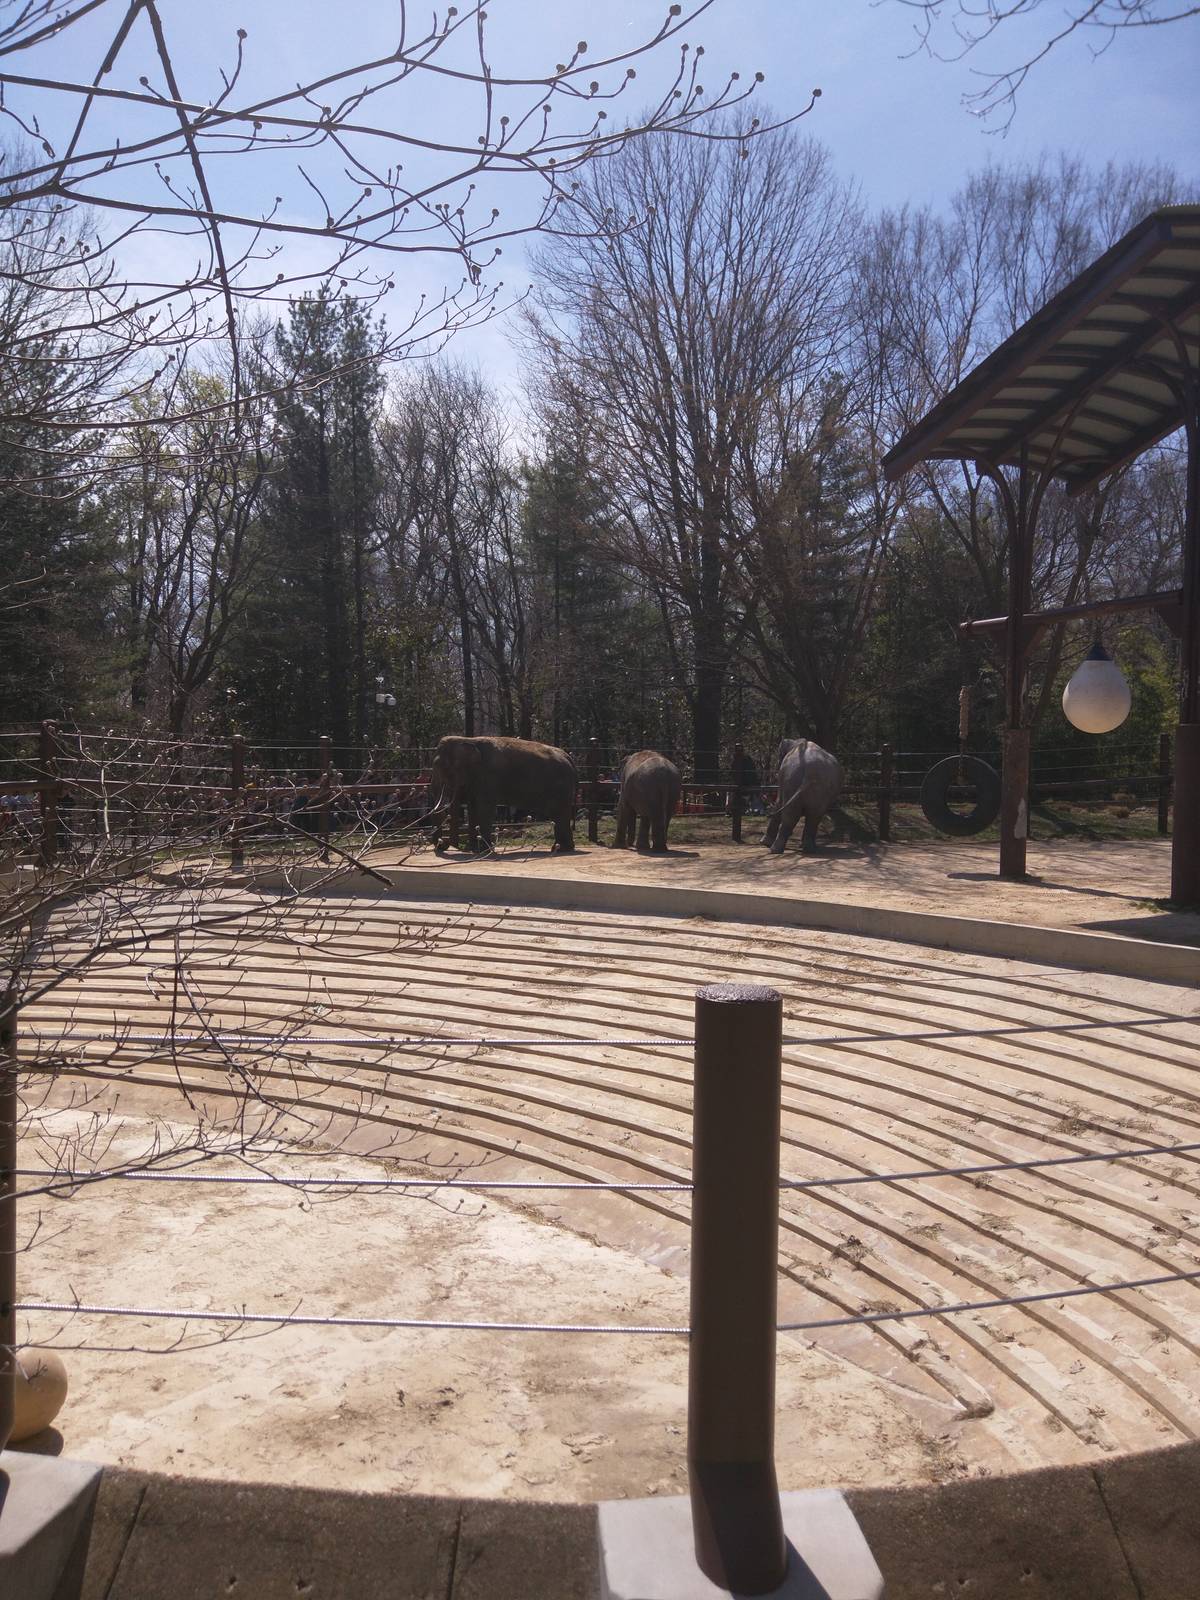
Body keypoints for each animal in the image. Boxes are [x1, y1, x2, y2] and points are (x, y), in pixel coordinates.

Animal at [429, 735, 576, 855]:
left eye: (443, 768)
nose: (443, 843)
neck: (467, 739)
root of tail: (568, 757)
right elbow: (473, 807)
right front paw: (475, 850)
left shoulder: (488, 776)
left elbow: (484, 808)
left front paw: (483, 851)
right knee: (559, 815)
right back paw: (562, 848)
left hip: (561, 786)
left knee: (559, 813)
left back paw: (560, 849)